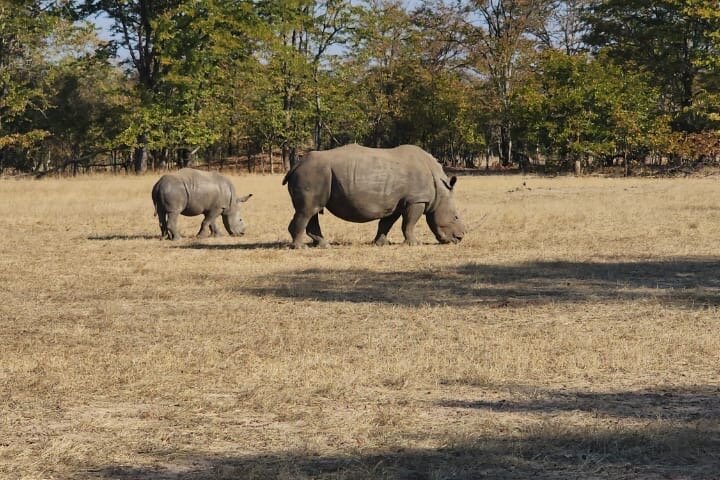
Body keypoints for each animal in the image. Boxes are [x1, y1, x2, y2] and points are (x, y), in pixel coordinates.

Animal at [282, 144, 466, 248]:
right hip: (313, 173)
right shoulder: (416, 200)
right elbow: (409, 224)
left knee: (313, 210)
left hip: (316, 173)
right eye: (456, 217)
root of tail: (296, 165)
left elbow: (386, 223)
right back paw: (300, 247)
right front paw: (414, 244)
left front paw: (380, 244)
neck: (440, 190)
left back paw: (323, 245)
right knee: (308, 211)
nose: (460, 238)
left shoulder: (397, 203)